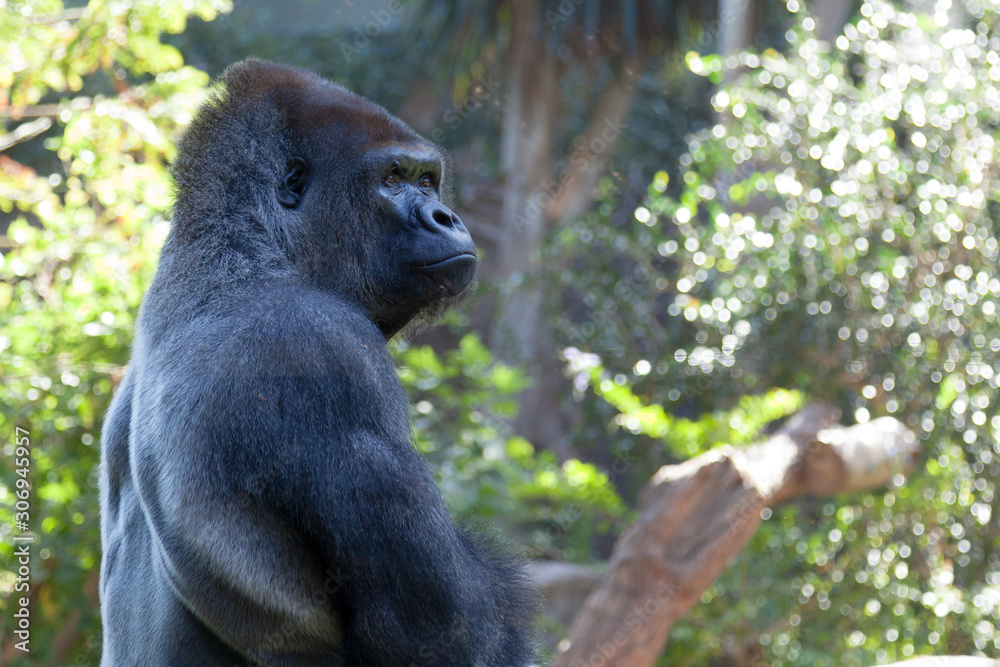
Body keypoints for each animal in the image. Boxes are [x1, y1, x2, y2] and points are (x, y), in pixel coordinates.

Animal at [99, 59, 537, 666]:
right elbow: (440, 631)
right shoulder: (323, 346)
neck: (249, 251)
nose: (446, 216)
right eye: (393, 178)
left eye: (427, 180)